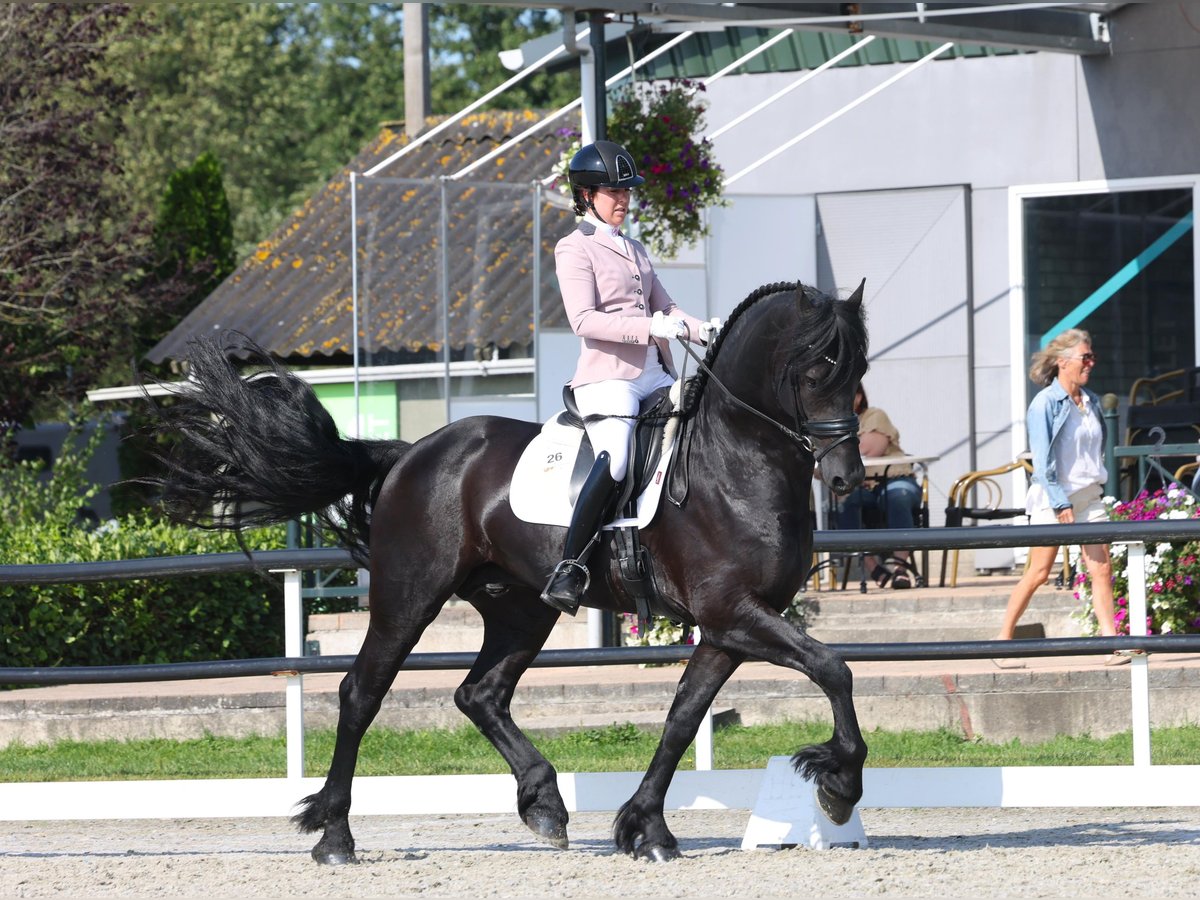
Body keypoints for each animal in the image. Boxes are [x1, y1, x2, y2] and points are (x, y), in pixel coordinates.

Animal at [154, 278, 868, 864]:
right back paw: (335, 837)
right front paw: (838, 783)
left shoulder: (727, 628)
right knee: (362, 693)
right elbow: (834, 667)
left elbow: (683, 718)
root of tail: (412, 453)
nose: (847, 479)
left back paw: (544, 804)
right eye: (815, 371)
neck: (734, 461)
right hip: (409, 596)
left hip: (521, 608)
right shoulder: (733, 613)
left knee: (481, 694)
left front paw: (645, 829)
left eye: (859, 367)